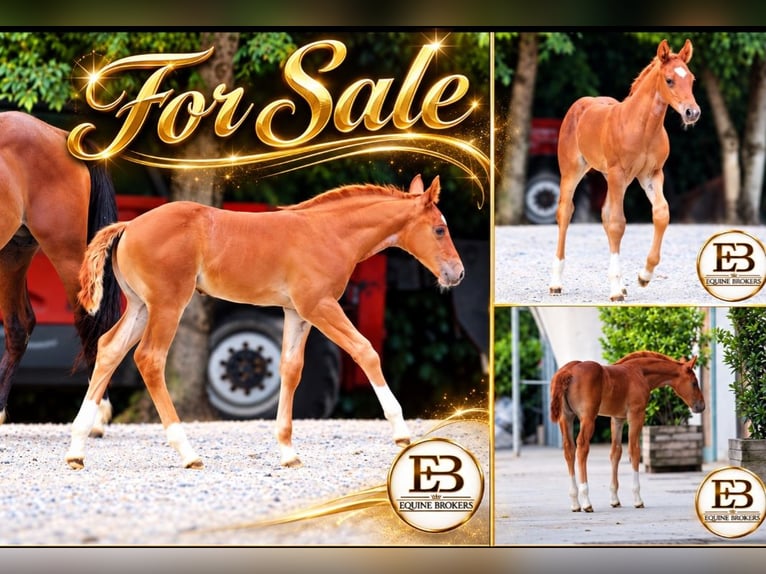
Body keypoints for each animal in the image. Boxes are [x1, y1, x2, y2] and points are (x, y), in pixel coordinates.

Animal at [0, 111, 121, 433]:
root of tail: (59, 135)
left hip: (67, 252)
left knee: (90, 321)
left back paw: (95, 416)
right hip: (13, 253)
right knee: (18, 326)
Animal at [65, 174, 465, 470]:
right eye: (440, 229)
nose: (457, 273)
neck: (329, 233)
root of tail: (129, 225)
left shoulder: (296, 312)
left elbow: (290, 368)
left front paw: (288, 452)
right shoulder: (320, 305)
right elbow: (365, 351)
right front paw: (401, 431)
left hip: (140, 306)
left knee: (109, 348)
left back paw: (77, 448)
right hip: (167, 305)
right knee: (149, 359)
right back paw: (188, 452)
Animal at [549, 39, 700, 301]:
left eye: (690, 79)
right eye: (669, 80)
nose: (692, 113)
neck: (643, 127)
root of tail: (580, 104)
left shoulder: (652, 174)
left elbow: (661, 214)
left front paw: (644, 276)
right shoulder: (618, 173)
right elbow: (618, 223)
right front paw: (615, 290)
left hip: (613, 178)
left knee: (605, 213)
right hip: (573, 171)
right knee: (565, 213)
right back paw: (556, 282)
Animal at [549, 350, 704, 512]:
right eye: (694, 383)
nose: (701, 406)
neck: (640, 373)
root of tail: (569, 371)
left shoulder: (617, 418)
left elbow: (615, 453)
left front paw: (614, 500)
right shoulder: (636, 415)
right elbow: (634, 451)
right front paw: (637, 499)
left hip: (565, 417)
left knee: (569, 449)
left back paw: (575, 502)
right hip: (588, 417)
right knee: (582, 447)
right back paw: (586, 501)